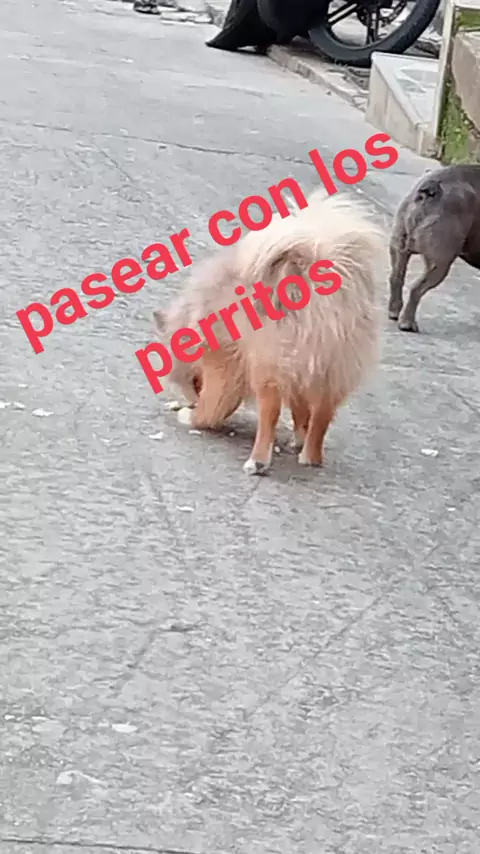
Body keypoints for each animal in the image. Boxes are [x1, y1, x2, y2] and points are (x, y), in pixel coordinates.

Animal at [153, 189, 383, 475]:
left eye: (191, 384)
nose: (189, 398)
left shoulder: (225, 366)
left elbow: (213, 406)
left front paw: (193, 416)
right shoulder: (304, 375)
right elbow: (301, 411)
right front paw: (300, 436)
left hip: (269, 367)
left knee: (269, 416)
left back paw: (258, 461)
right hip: (333, 370)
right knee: (322, 415)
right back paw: (310, 455)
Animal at [389, 164, 480, 332]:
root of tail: (433, 186)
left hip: (399, 245)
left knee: (396, 276)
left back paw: (394, 312)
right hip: (440, 262)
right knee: (417, 288)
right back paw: (407, 323)